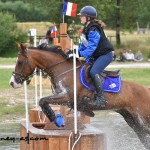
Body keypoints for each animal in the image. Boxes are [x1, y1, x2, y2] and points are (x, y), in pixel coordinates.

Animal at [9, 43, 150, 149]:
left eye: (20, 62)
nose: (12, 82)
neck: (64, 70)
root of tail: (146, 89)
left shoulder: (67, 97)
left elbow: (43, 100)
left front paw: (54, 118)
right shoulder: (64, 99)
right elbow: (44, 101)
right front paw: (56, 118)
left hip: (143, 119)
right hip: (133, 121)